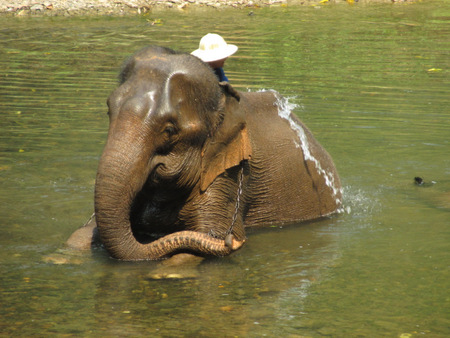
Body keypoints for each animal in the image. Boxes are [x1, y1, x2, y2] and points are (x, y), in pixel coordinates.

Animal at [67, 45, 342, 262]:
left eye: (169, 130)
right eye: (108, 110)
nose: (233, 240)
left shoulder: (229, 172)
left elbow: (206, 238)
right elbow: (85, 231)